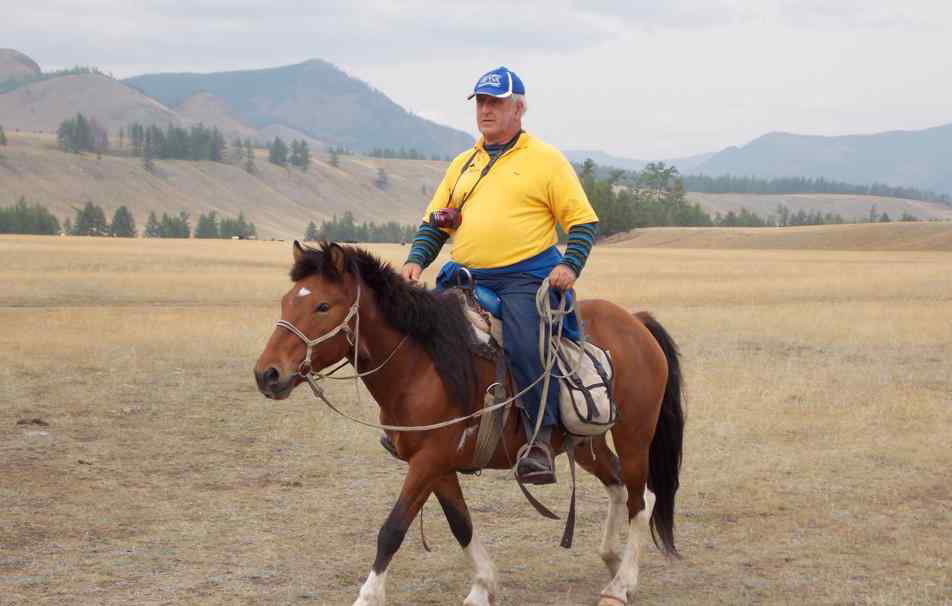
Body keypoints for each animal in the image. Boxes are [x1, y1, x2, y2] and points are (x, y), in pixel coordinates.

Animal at [254, 241, 685, 606]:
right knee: (617, 484)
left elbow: (392, 530)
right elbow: (460, 524)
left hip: (634, 436)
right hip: (584, 443)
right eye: (286, 301)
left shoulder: (429, 461)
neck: (422, 364)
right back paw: (612, 559)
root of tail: (636, 322)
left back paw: (621, 584)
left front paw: (368, 596)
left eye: (323, 306)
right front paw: (483, 586)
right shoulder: (438, 466)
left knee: (640, 498)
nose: (267, 374)